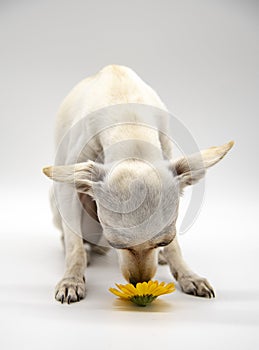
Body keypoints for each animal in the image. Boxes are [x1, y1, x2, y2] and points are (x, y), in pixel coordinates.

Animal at [42, 65, 234, 304]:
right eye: (116, 244)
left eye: (164, 241)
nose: (139, 283)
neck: (130, 126)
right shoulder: (68, 190)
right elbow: (74, 245)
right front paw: (72, 280)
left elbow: (176, 249)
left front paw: (188, 275)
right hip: (59, 202)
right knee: (70, 237)